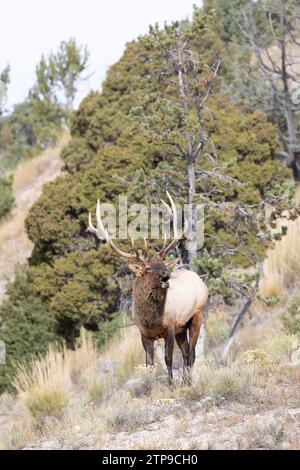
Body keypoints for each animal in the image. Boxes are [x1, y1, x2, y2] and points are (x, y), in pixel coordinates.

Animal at [88, 193, 207, 384]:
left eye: (163, 263)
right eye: (149, 268)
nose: (167, 274)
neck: (151, 319)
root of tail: (199, 279)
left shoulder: (170, 327)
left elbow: (168, 359)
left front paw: (171, 385)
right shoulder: (144, 334)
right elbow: (149, 365)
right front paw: (152, 387)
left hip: (197, 315)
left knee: (192, 353)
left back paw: (187, 382)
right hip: (182, 328)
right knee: (186, 352)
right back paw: (185, 382)